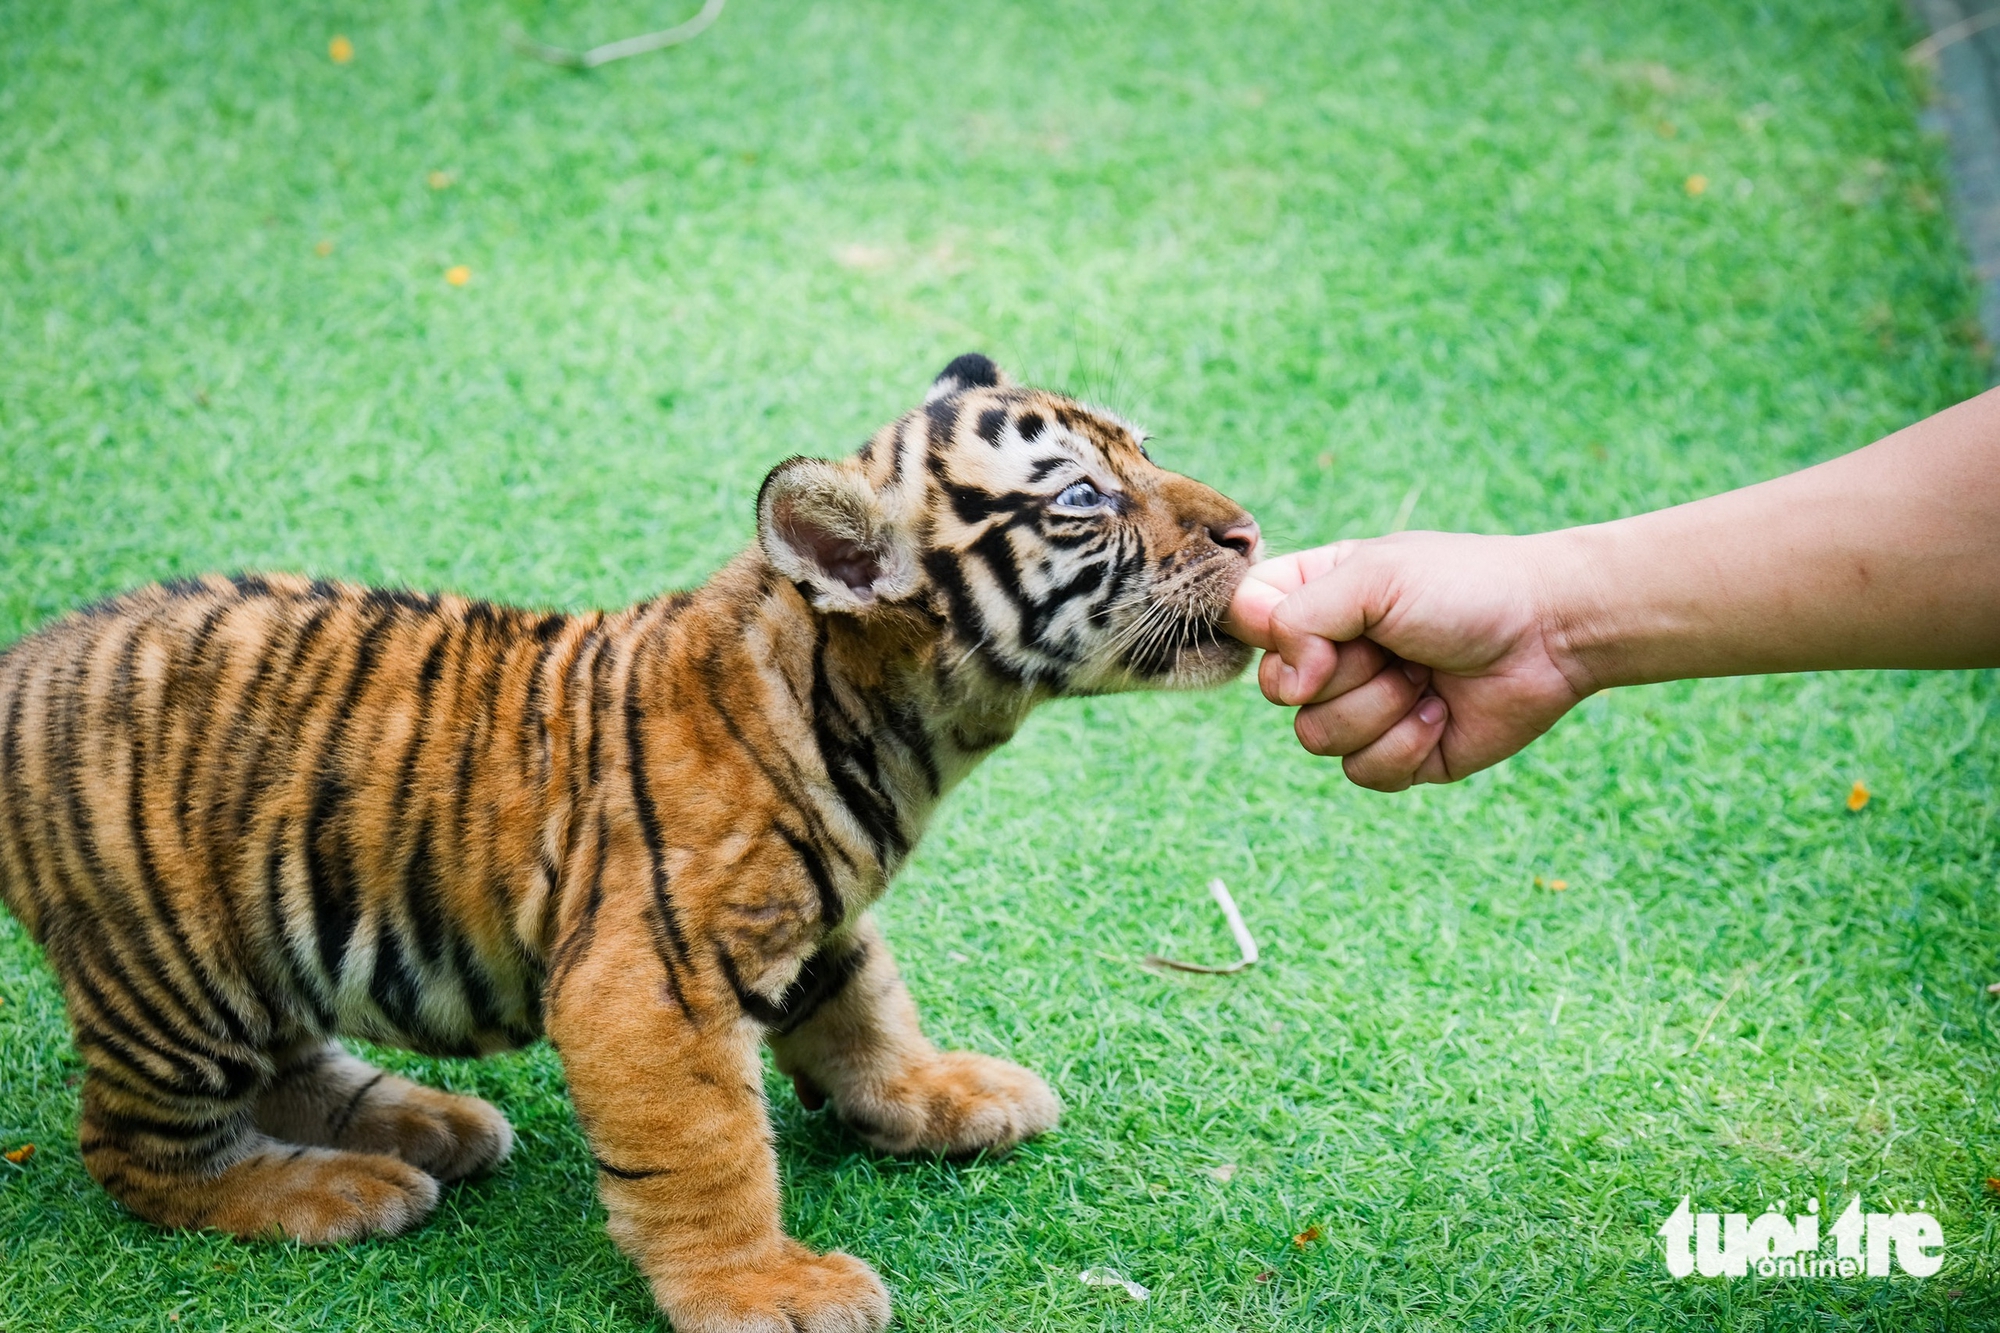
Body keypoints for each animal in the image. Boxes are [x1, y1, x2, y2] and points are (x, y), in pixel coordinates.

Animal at [0, 353, 1260, 1332]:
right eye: (1086, 496)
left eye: (1144, 452)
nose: (1248, 531)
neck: (901, 728)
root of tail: (24, 661)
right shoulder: (652, 980)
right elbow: (712, 1152)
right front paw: (763, 1287)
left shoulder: (821, 915)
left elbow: (865, 1007)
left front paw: (934, 1093)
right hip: (175, 977)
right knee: (132, 1150)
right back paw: (330, 1192)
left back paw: (427, 1125)